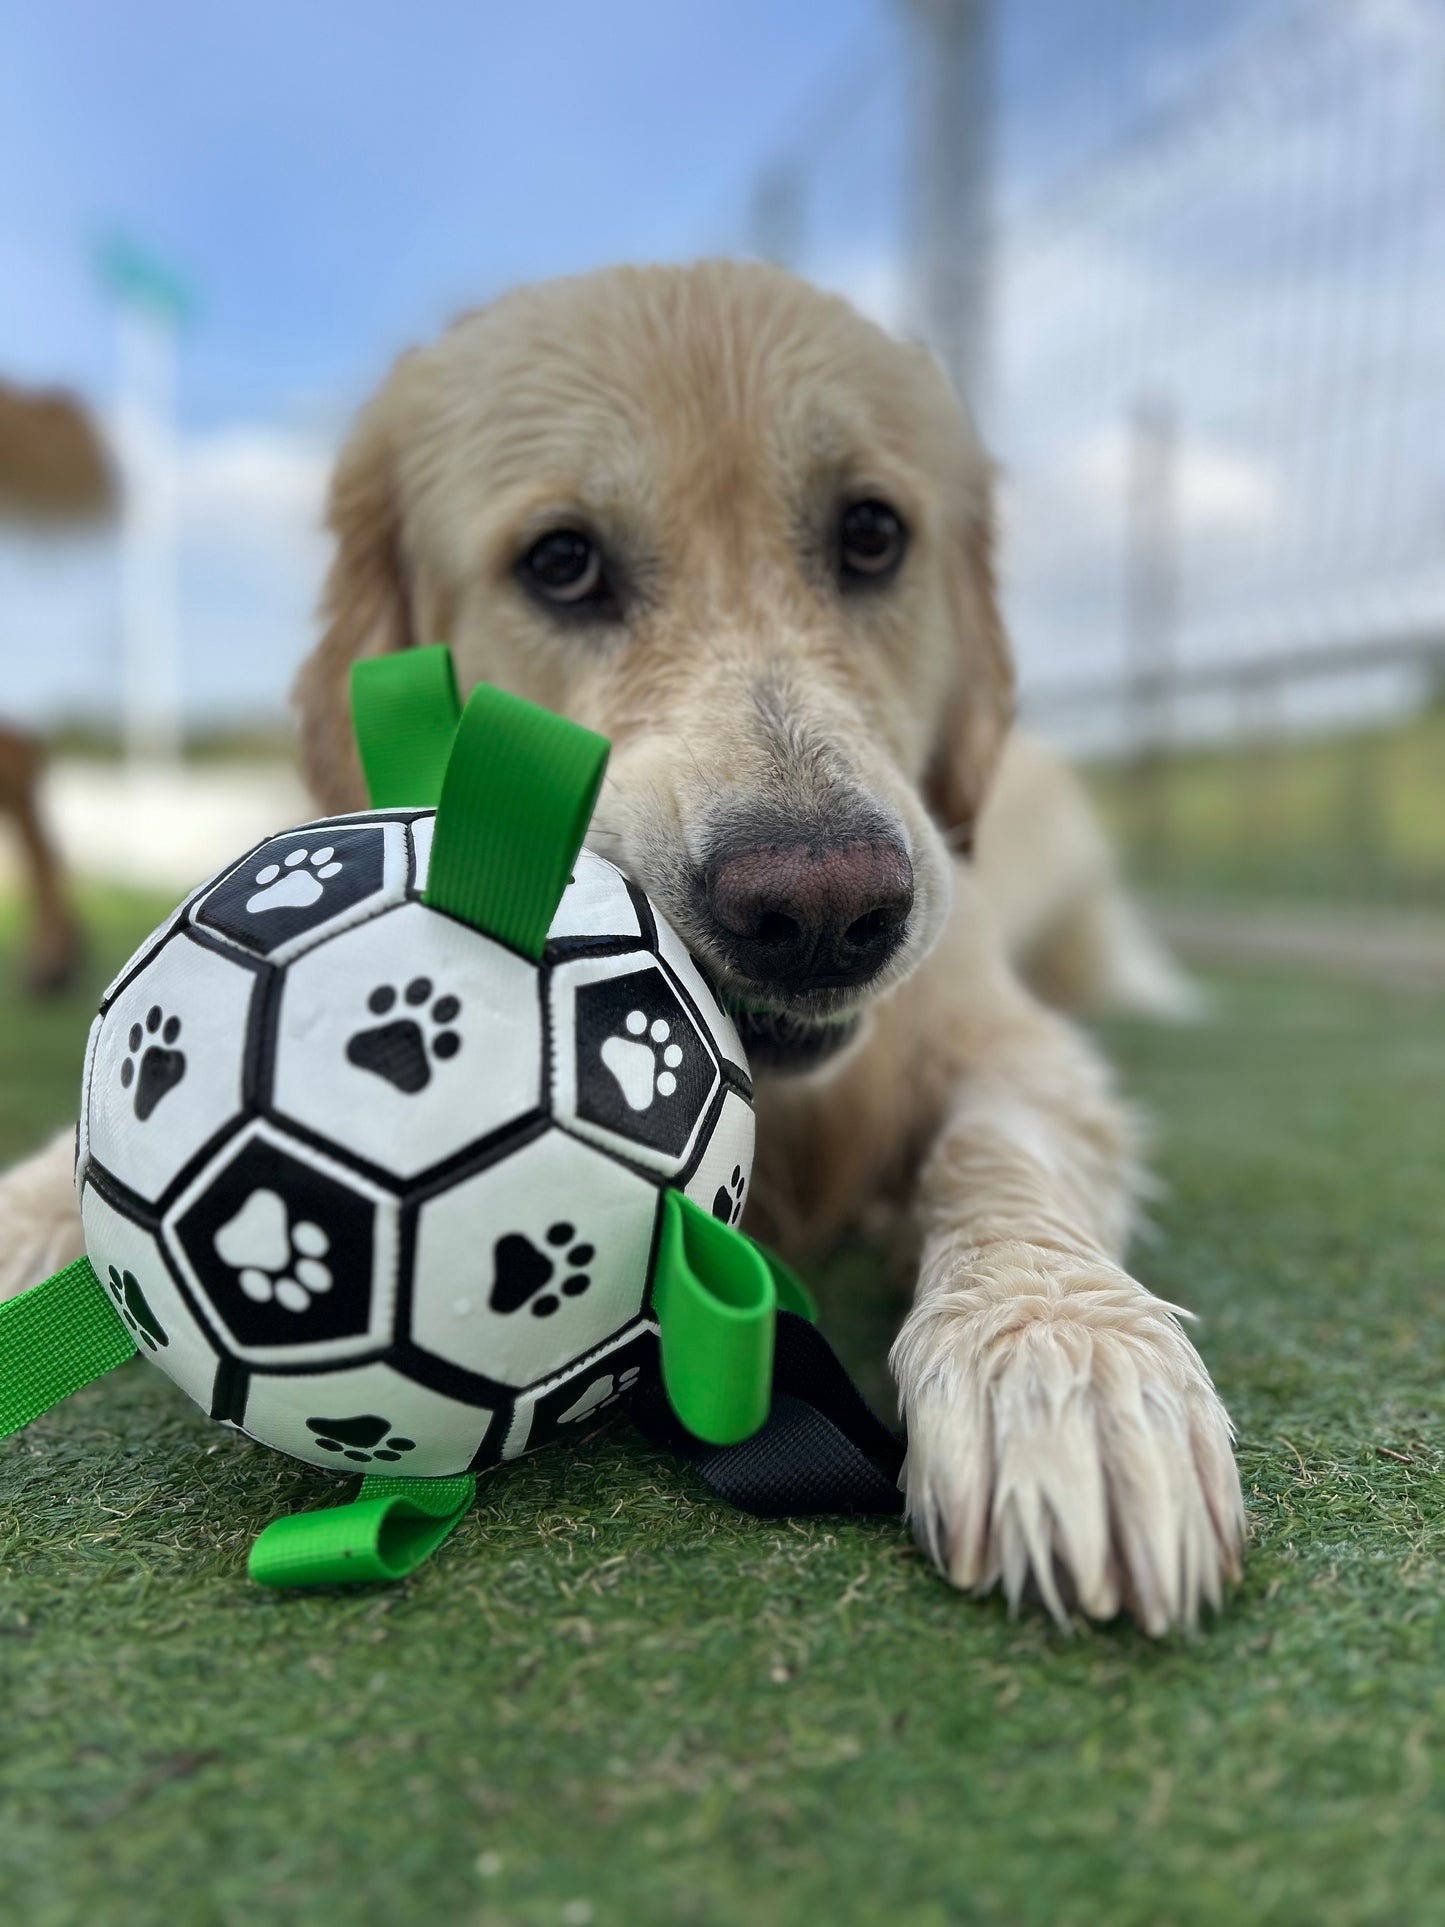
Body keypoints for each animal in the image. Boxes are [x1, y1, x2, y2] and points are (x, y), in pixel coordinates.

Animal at [0, 263, 1248, 1634]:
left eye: (870, 537)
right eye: (560, 561)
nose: (821, 910)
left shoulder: (1002, 1036)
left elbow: (1003, 1152)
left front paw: (1063, 1360)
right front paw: (31, 1211)